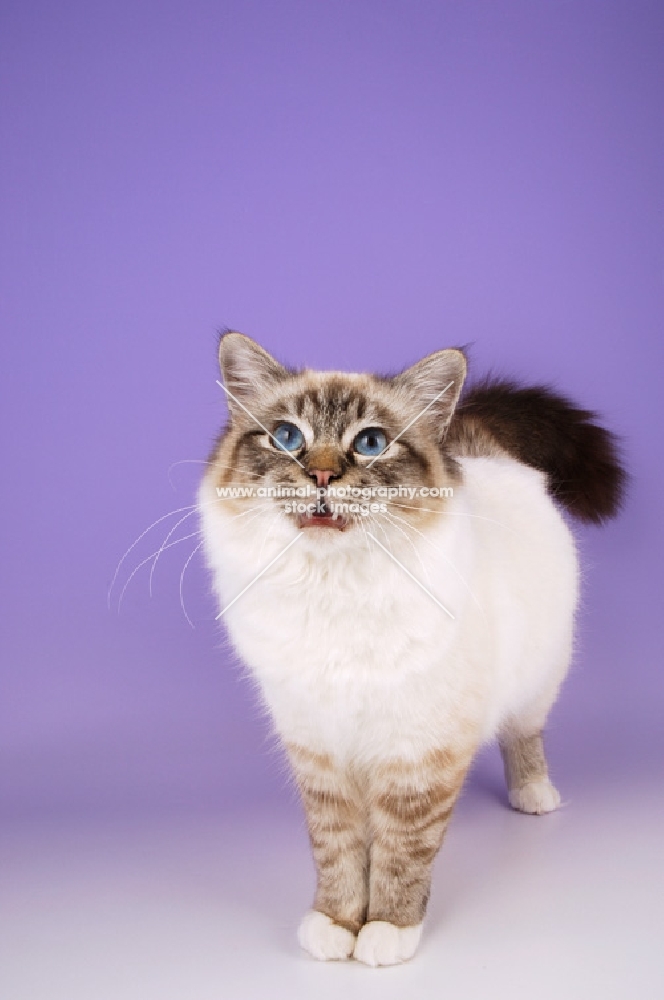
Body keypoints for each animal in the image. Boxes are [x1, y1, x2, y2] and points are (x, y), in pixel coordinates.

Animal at [197, 332, 624, 964]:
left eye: (370, 443)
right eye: (288, 438)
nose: (321, 476)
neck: (334, 591)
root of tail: (479, 449)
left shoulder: (419, 750)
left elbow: (402, 852)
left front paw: (387, 931)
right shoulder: (319, 750)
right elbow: (339, 852)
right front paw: (336, 924)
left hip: (541, 675)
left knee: (524, 733)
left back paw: (533, 794)